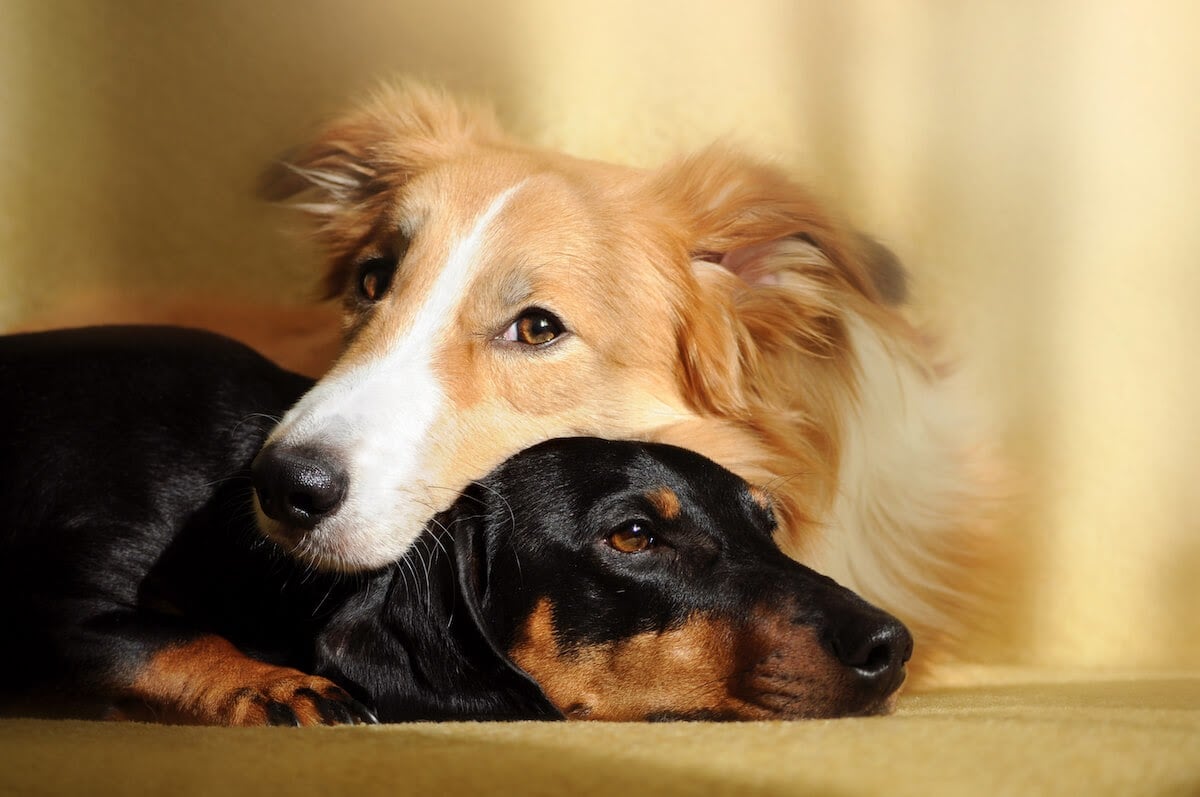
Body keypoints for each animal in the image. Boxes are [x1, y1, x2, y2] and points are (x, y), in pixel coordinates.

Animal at [0, 326, 907, 724]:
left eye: (767, 525)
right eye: (633, 536)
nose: (891, 645)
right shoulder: (61, 605)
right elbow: (161, 636)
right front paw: (276, 682)